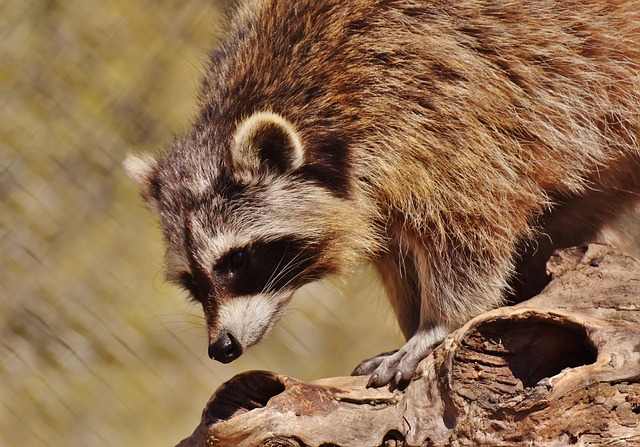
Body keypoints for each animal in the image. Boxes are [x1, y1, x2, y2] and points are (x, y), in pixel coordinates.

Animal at [125, 0, 640, 388]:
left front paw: (438, 324)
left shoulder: (440, 105)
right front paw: (414, 319)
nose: (222, 348)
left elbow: (469, 225)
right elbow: (396, 249)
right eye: (192, 283)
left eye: (236, 261)